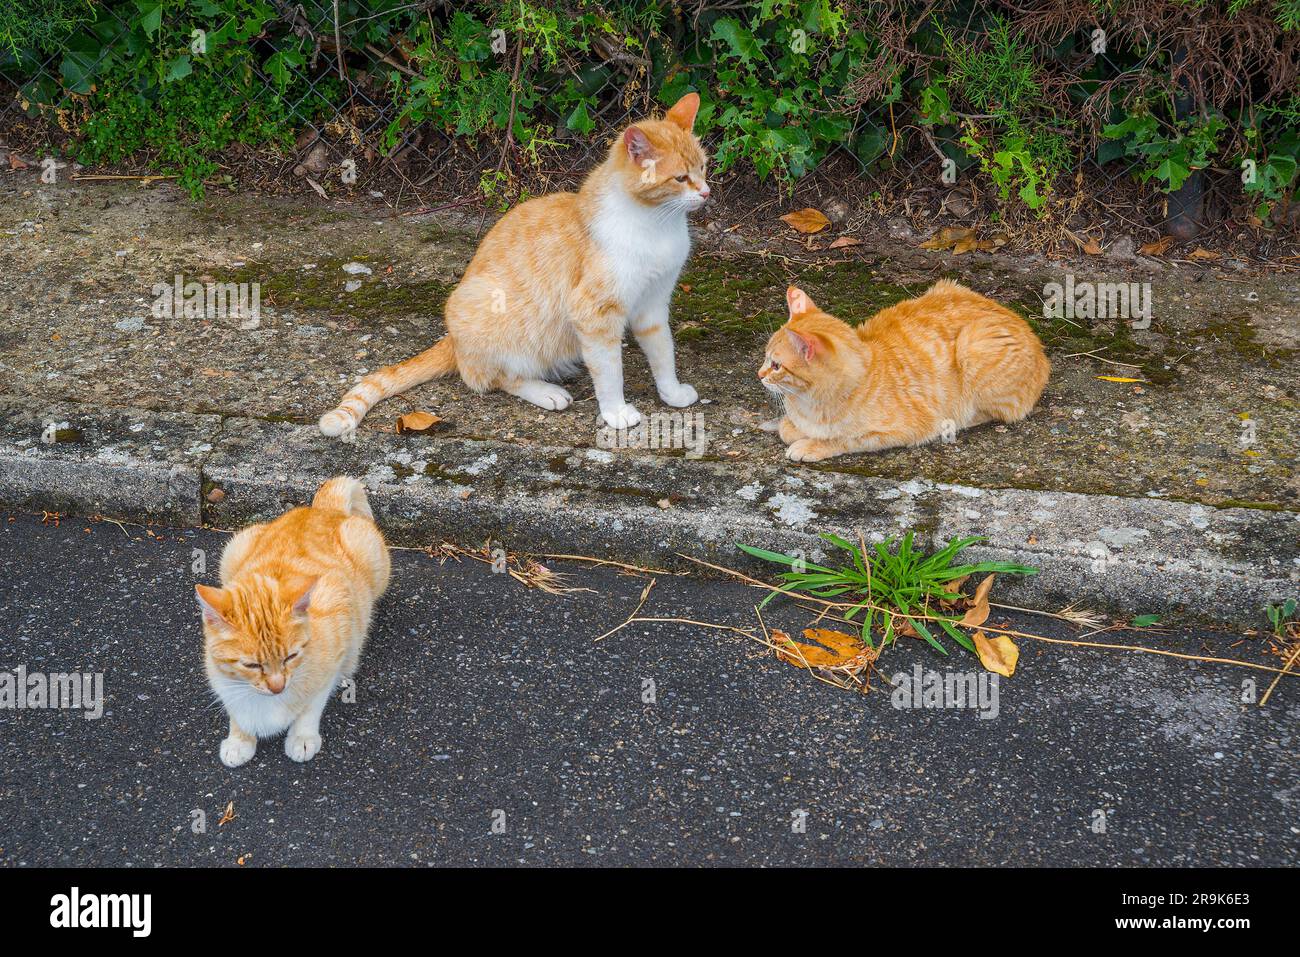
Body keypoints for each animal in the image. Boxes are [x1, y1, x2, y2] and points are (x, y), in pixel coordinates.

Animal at [193, 478, 390, 769]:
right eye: (251, 665)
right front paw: (239, 740)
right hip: (233, 548)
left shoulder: (337, 628)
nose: (278, 686)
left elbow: (311, 705)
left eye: (291, 657)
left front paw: (302, 737)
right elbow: (236, 711)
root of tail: (319, 509)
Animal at [321, 89, 712, 434]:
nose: (707, 192)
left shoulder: (653, 305)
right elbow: (609, 370)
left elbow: (663, 353)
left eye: (704, 168)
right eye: (681, 178)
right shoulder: (595, 313)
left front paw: (671, 392)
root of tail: (452, 339)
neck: (656, 224)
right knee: (493, 378)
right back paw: (547, 391)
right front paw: (615, 411)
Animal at [759, 280, 1050, 462]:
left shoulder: (902, 431)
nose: (759, 375)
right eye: (765, 357)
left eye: (776, 365)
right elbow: (787, 427)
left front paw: (811, 445)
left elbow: (845, 439)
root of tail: (1038, 342)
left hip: (974, 345)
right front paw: (795, 429)